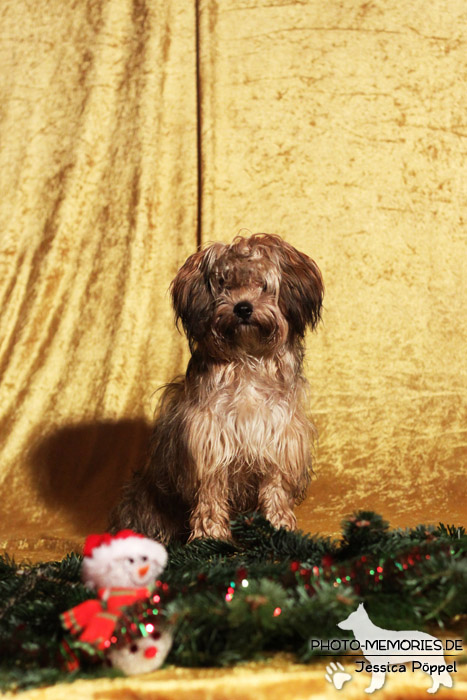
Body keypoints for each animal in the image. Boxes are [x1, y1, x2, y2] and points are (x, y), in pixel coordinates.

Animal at [112, 234, 326, 540]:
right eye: (224, 284)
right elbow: (211, 496)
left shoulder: (280, 441)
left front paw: (278, 527)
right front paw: (210, 537)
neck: (246, 362)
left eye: (263, 285)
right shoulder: (209, 444)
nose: (243, 307)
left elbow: (275, 490)